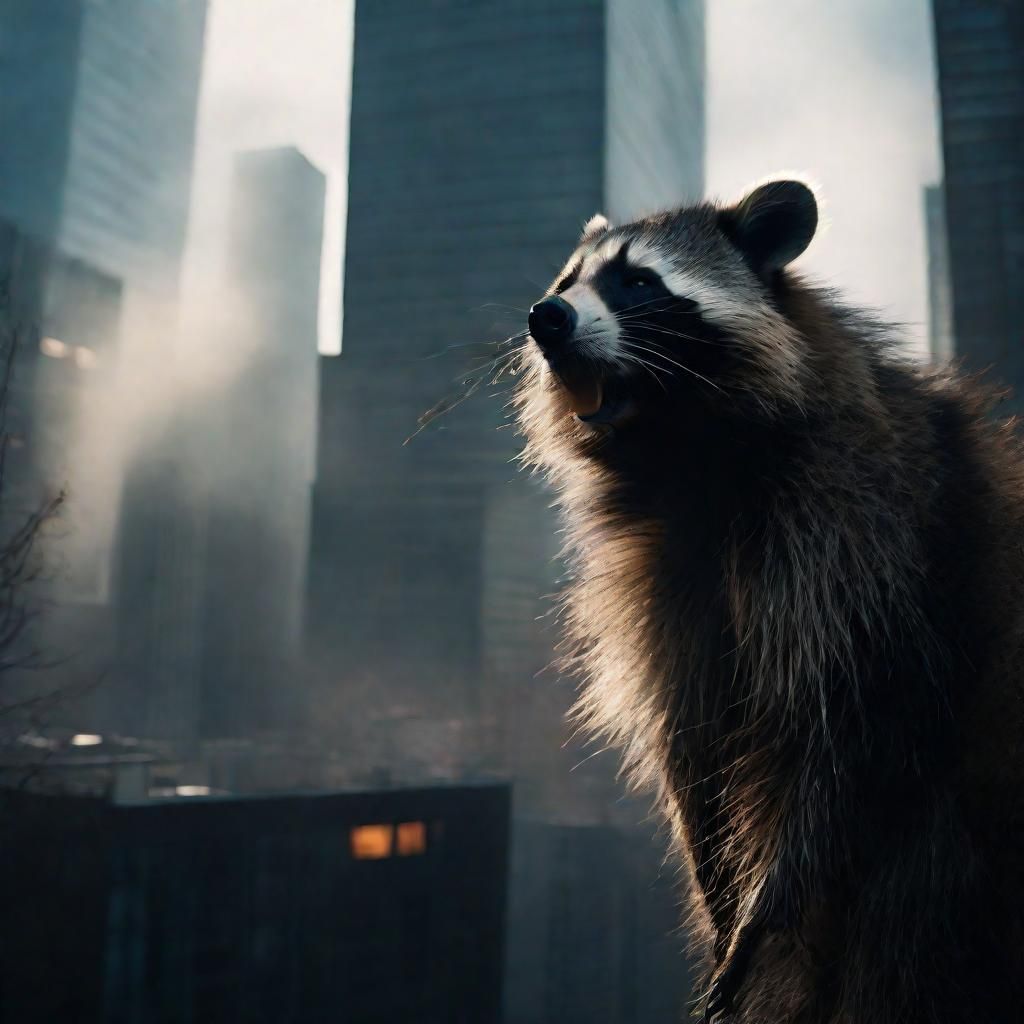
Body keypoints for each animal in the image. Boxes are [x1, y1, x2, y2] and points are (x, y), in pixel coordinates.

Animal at [514, 180, 1024, 1023]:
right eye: (566, 281)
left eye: (639, 282)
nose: (545, 318)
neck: (687, 454)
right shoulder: (664, 575)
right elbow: (695, 738)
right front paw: (721, 892)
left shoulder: (861, 533)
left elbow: (848, 728)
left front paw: (769, 901)